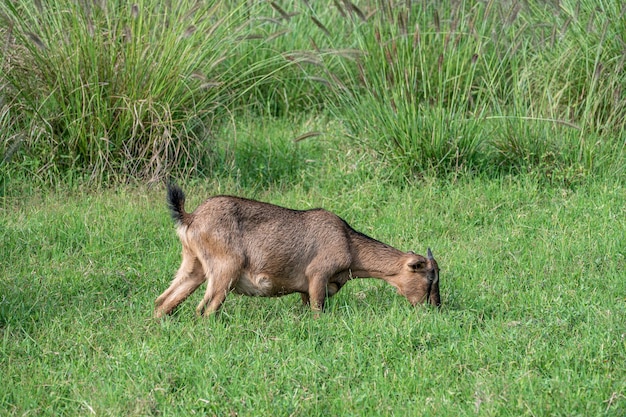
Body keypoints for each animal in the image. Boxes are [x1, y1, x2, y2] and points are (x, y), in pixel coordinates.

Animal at [154, 184, 438, 316]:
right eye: (429, 279)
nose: (435, 307)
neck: (349, 243)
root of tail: (191, 217)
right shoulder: (317, 276)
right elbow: (317, 312)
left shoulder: (305, 290)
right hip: (225, 270)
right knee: (204, 310)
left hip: (194, 266)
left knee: (163, 301)